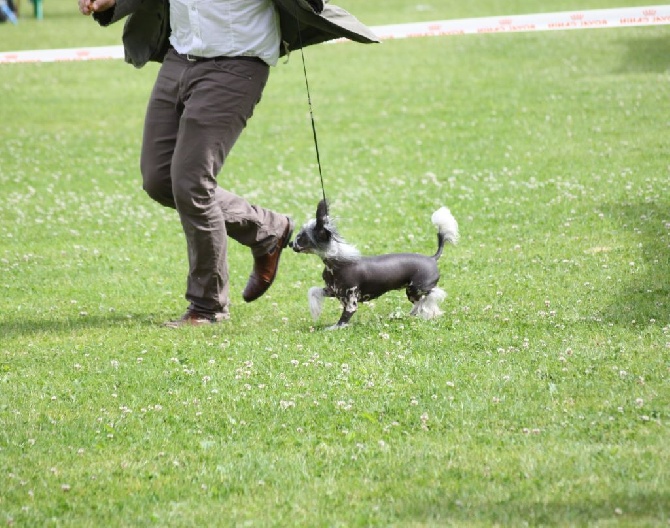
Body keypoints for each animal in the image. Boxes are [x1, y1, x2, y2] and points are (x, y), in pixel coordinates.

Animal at [292, 200, 460, 328]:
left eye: (302, 237)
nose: (291, 244)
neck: (337, 262)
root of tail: (432, 258)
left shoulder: (351, 302)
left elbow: (343, 320)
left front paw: (334, 327)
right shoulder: (333, 291)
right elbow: (312, 291)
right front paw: (315, 310)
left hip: (415, 288)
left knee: (431, 296)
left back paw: (430, 311)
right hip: (412, 292)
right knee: (420, 302)